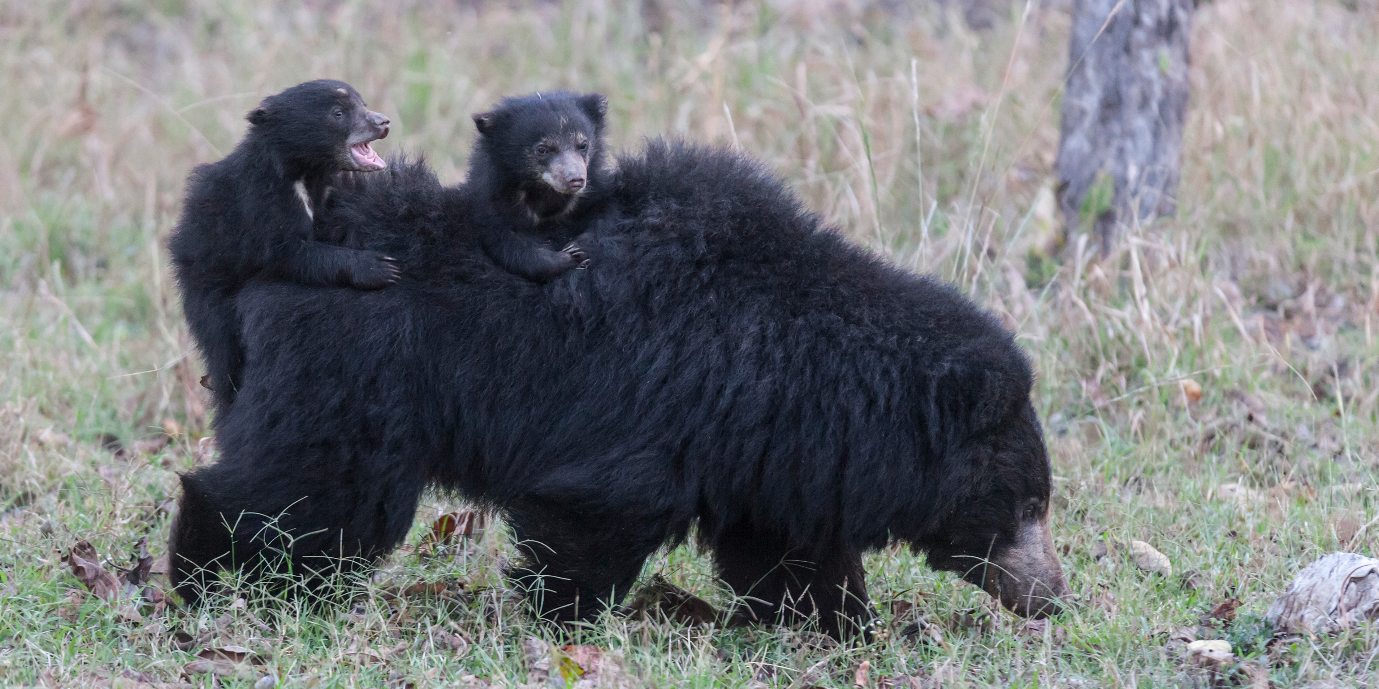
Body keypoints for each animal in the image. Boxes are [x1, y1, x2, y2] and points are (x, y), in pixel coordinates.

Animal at [166, 139, 1070, 639]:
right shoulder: (657, 408)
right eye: (1024, 504)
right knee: (307, 493)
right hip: (356, 375)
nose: (1052, 597)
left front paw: (839, 624)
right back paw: (210, 580)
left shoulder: (767, 448)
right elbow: (590, 515)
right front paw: (565, 620)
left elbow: (784, 548)